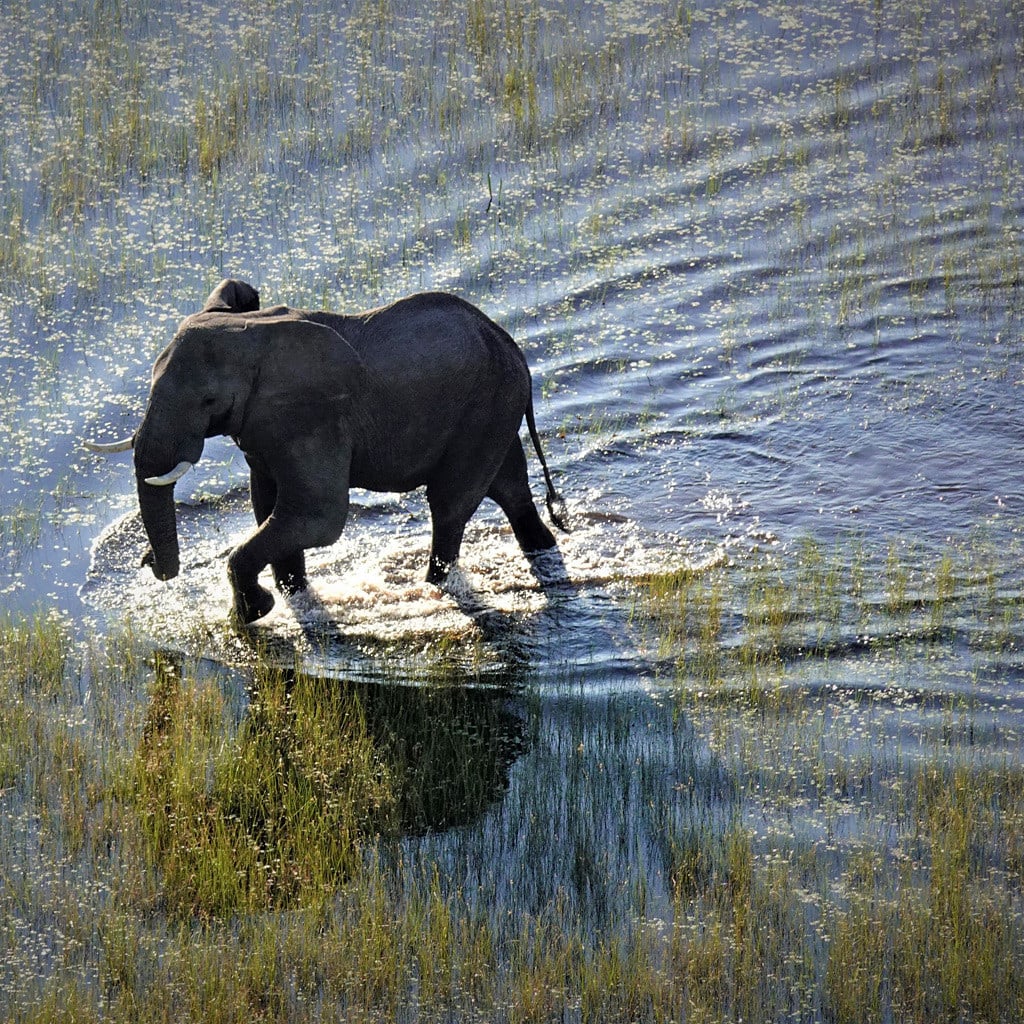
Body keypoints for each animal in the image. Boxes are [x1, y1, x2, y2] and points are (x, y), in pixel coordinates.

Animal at [86, 280, 567, 624]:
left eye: (207, 400)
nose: (147, 561)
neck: (253, 335)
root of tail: (510, 344)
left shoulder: (313, 417)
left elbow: (319, 515)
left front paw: (251, 614)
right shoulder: (263, 426)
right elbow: (268, 505)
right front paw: (292, 596)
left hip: (484, 408)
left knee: (449, 506)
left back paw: (433, 586)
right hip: (494, 407)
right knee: (511, 491)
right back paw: (543, 551)